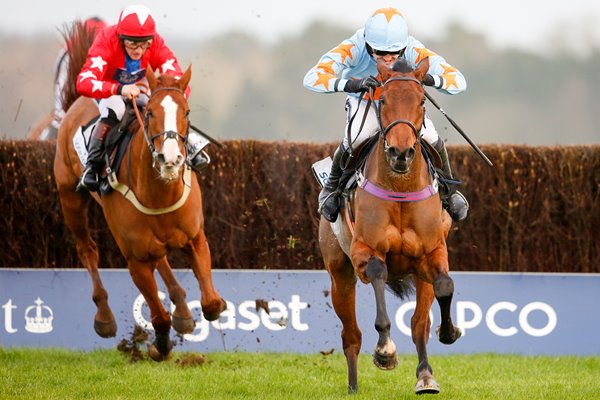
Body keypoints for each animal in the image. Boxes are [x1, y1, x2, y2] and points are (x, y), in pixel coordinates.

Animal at [54, 47, 226, 360]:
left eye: (186, 112)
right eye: (149, 112)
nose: (170, 158)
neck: (159, 193)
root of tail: (76, 102)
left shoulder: (195, 238)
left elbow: (210, 304)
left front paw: (201, 309)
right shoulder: (134, 259)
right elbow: (159, 317)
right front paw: (159, 346)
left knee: (161, 259)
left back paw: (183, 310)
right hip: (70, 199)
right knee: (88, 250)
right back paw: (104, 317)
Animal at [318, 57, 464, 396]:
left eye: (422, 101)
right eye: (382, 99)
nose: (401, 152)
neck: (400, 187)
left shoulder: (432, 252)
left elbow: (445, 286)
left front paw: (449, 331)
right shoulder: (364, 252)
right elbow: (378, 274)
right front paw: (385, 352)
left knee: (419, 324)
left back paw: (425, 376)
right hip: (339, 275)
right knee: (351, 335)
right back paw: (353, 386)